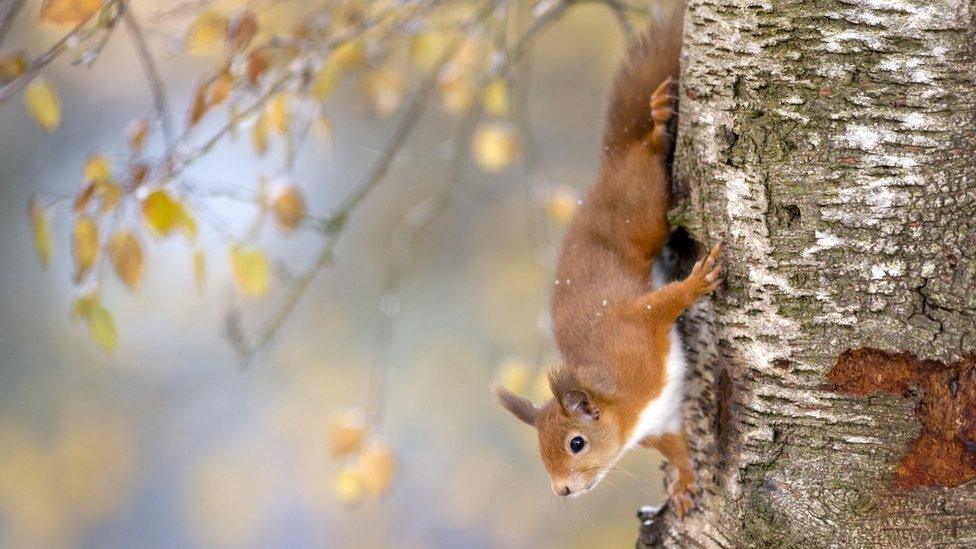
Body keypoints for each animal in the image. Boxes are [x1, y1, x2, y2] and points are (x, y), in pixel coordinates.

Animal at [492, 12, 720, 520]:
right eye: (540, 451)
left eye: (576, 443)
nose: (561, 491)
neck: (629, 409)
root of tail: (605, 171)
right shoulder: (659, 423)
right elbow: (676, 446)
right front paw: (684, 482)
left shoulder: (634, 329)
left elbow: (661, 303)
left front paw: (697, 282)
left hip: (641, 208)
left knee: (645, 159)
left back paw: (656, 126)